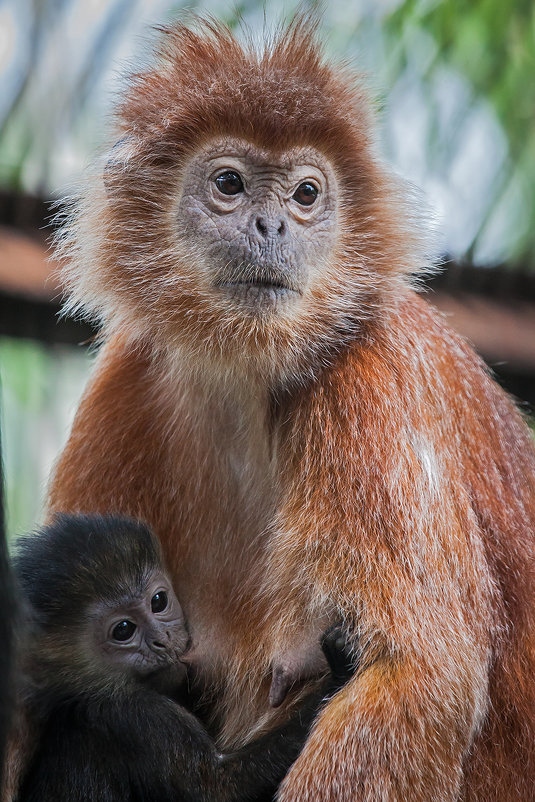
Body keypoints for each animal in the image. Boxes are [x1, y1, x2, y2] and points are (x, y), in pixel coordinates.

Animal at [12, 512, 356, 800]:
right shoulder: (132, 715)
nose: (162, 641)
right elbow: (216, 789)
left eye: (158, 601)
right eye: (123, 630)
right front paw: (338, 667)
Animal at [47, 14, 535, 800]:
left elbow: (416, 676)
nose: (273, 226)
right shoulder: (124, 382)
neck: (251, 382)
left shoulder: (369, 377)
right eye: (229, 183)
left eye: (306, 194)